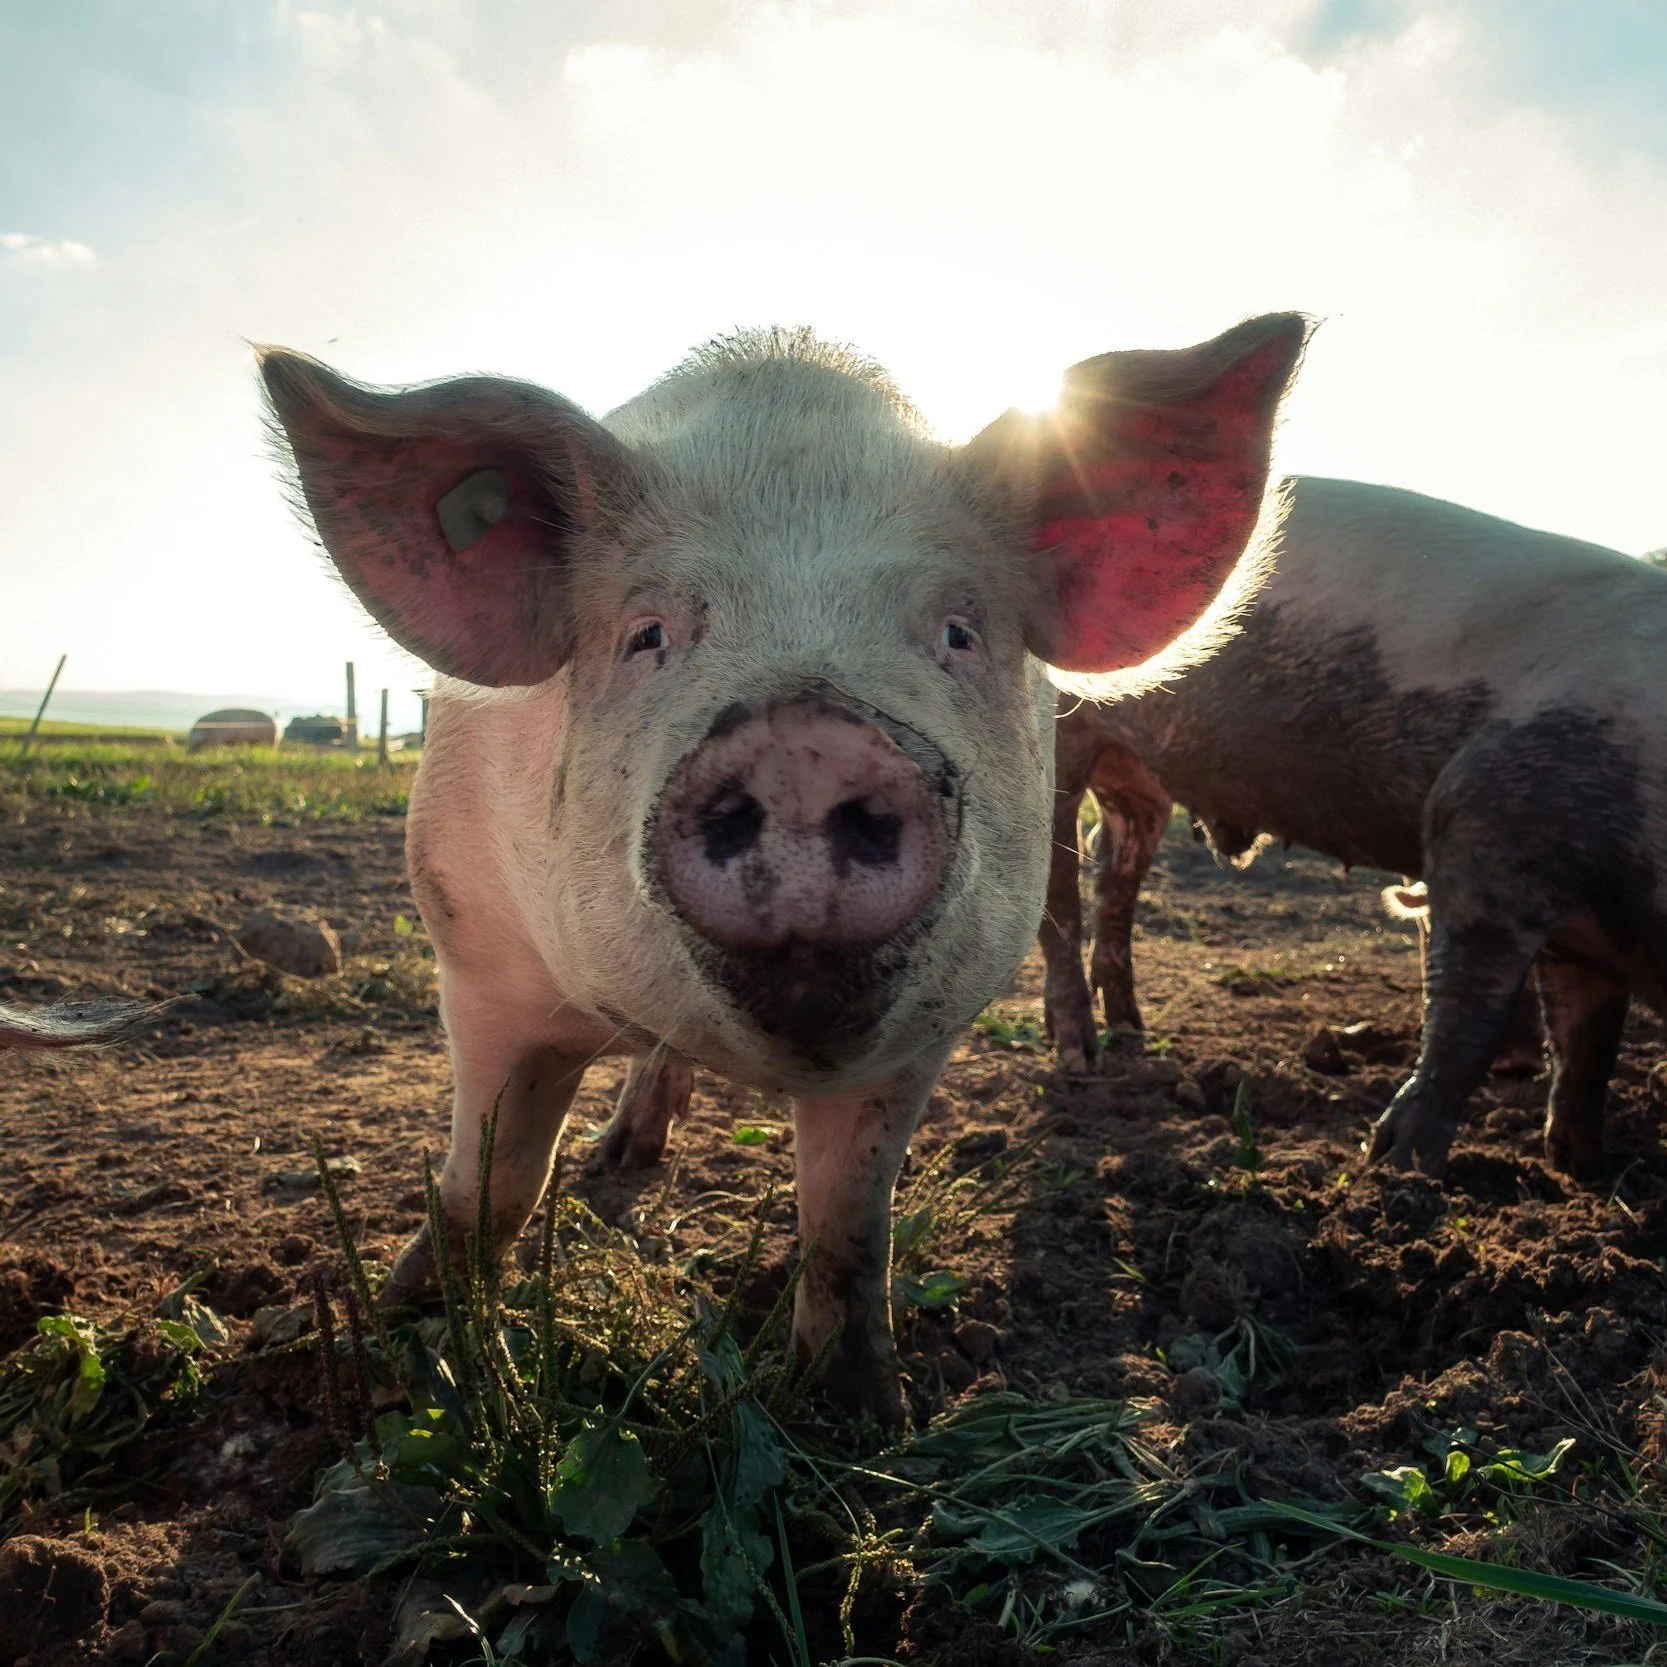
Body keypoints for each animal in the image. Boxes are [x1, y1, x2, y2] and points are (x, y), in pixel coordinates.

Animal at [259, 315, 1307, 1422]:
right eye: (647, 633)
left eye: (957, 631)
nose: (805, 736)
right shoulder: (476, 953)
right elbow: (489, 1181)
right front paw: (406, 1339)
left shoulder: (928, 1027)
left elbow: (848, 1220)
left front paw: (860, 1416)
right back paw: (615, 1160)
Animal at [1035, 476, 1667, 1181]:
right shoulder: (1482, 827)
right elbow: (1465, 1018)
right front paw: (1397, 1166)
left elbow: (1589, 1042)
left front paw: (1587, 1168)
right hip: (1059, 733)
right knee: (1058, 889)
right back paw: (1080, 1057)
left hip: (1138, 776)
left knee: (1114, 868)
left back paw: (1131, 1032)